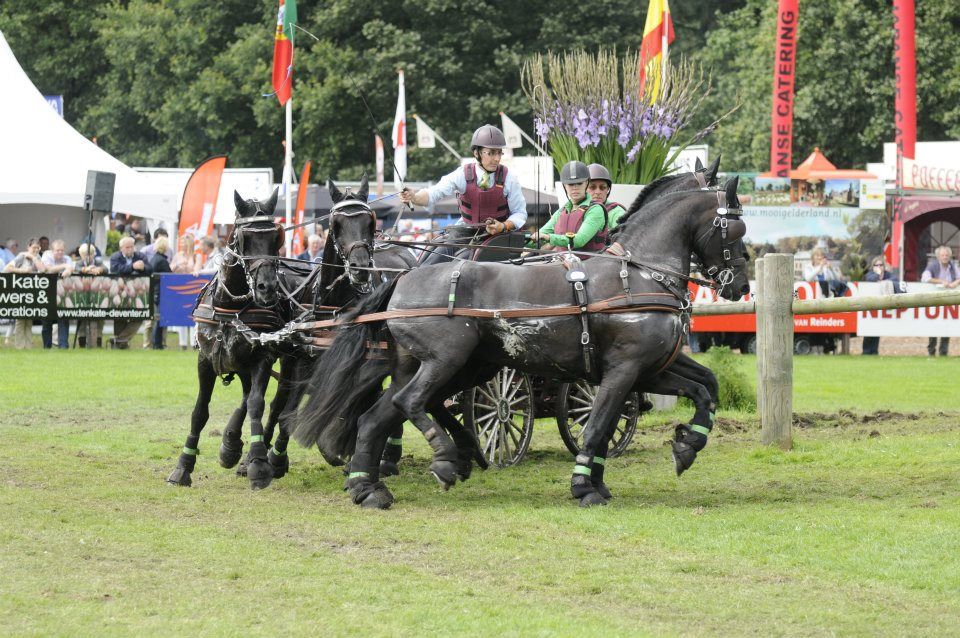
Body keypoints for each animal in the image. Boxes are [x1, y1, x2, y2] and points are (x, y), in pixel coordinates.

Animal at [292, 178, 752, 508]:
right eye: (733, 227)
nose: (741, 285)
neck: (638, 274)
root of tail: (402, 278)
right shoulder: (625, 370)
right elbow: (597, 426)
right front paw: (585, 486)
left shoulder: (650, 369)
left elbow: (706, 388)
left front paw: (687, 445)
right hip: (447, 362)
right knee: (411, 403)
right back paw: (444, 460)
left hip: (456, 367)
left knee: (377, 417)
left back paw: (368, 489)